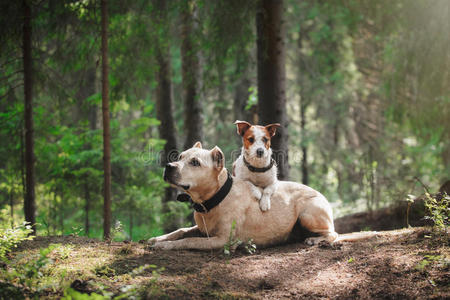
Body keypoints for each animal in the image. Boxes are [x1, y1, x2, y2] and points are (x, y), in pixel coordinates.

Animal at [149, 142, 376, 250]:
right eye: (180, 157)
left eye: (195, 162)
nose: (168, 166)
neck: (214, 198)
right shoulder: (202, 229)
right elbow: (181, 231)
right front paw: (158, 238)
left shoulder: (222, 241)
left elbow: (188, 241)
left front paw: (165, 246)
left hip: (308, 214)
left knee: (334, 233)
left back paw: (316, 240)